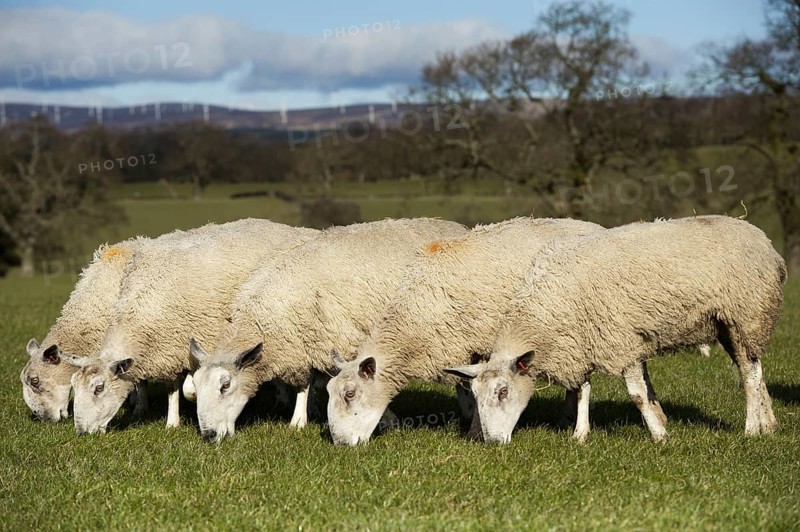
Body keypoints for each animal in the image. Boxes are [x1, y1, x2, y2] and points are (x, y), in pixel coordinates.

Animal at [65, 219, 318, 434]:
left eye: (99, 388)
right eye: (74, 387)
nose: (81, 432)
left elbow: (185, 387)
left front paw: (181, 413)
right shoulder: (168, 348)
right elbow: (174, 388)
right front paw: (171, 419)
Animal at [187, 218, 467, 442]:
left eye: (225, 385)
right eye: (197, 388)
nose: (209, 435)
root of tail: (455, 226)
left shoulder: (326, 340)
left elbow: (314, 384)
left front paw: (298, 421)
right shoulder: (303, 342)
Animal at [325, 217, 604, 446]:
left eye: (350, 394)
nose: (340, 444)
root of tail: (593, 226)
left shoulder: (482, 342)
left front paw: (475, 430)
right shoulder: (461, 345)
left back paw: (578, 429)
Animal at [446, 215, 786, 444]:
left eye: (503, 392)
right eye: (475, 395)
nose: (491, 442)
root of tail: (763, 240)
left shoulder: (623, 339)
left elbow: (637, 395)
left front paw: (659, 436)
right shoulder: (580, 340)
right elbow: (582, 390)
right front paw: (580, 434)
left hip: (746, 314)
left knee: (749, 375)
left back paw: (751, 429)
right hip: (729, 324)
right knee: (753, 369)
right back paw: (768, 425)